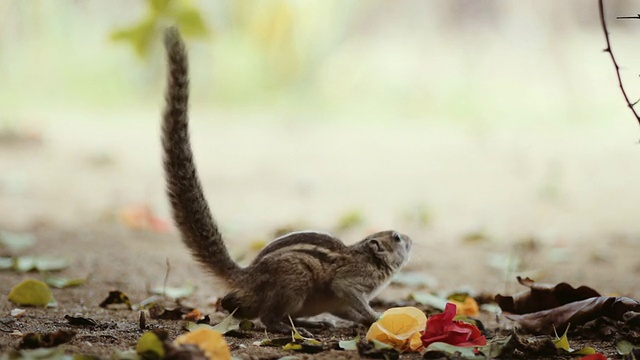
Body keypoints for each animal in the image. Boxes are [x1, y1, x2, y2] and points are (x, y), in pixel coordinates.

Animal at [159, 26, 410, 334]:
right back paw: (290, 328)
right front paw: (378, 318)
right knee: (267, 316)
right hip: (295, 282)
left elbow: (348, 310)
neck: (364, 255)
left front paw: (369, 320)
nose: (411, 239)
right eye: (396, 237)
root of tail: (249, 278)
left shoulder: (340, 303)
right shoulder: (350, 282)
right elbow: (350, 293)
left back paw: (310, 323)